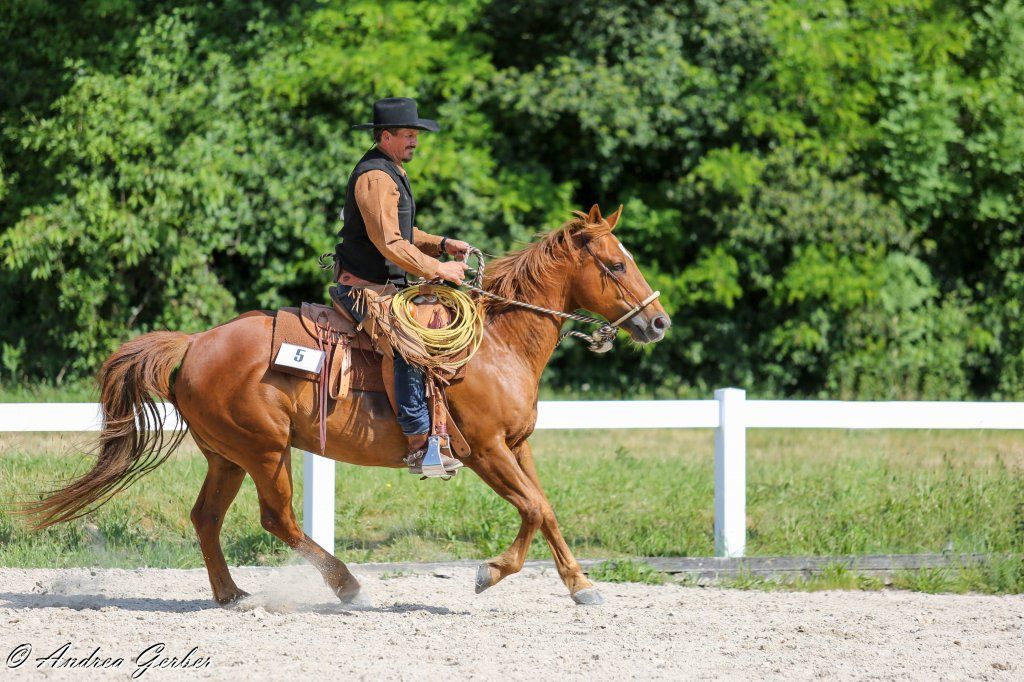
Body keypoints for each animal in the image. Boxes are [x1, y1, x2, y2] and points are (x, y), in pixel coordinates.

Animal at [23, 204, 671, 606]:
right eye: (616, 264)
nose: (659, 322)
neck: (495, 344)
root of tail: (194, 343)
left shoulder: (518, 446)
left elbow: (547, 510)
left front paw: (582, 586)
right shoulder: (486, 450)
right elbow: (533, 509)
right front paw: (488, 573)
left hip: (227, 455)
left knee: (206, 517)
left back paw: (232, 595)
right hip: (266, 451)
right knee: (277, 520)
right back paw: (347, 586)